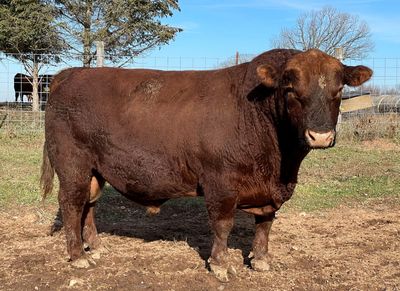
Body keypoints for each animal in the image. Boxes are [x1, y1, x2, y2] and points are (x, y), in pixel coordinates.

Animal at [40, 49, 372, 282]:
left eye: (339, 90)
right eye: (291, 89)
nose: (321, 135)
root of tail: (69, 74)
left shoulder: (270, 191)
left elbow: (266, 223)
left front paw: (261, 260)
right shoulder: (220, 183)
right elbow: (222, 225)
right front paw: (221, 265)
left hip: (96, 170)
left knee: (89, 204)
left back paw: (96, 248)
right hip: (73, 164)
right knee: (71, 204)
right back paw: (78, 256)